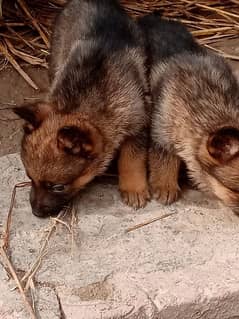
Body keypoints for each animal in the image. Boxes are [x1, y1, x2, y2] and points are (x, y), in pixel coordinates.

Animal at [13, 0, 149, 218]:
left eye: (58, 187)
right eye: (29, 177)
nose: (36, 213)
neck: (80, 106)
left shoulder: (138, 124)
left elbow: (132, 159)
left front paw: (133, 188)